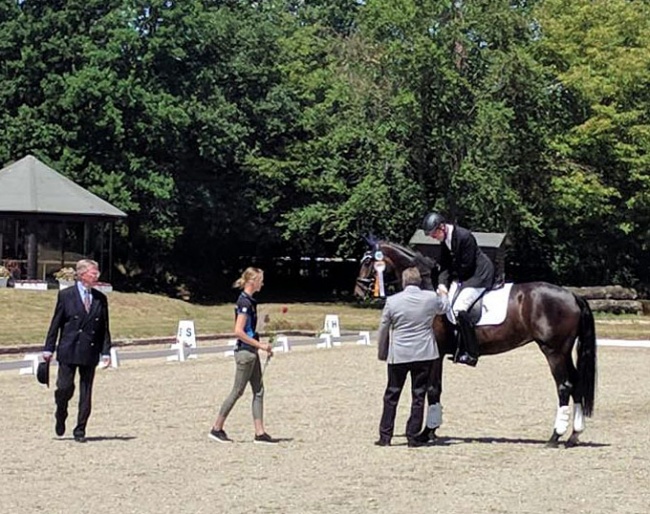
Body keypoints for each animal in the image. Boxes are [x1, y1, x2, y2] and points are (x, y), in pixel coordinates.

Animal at [356, 240, 596, 444]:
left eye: (368, 262)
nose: (358, 292)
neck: (428, 288)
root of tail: (572, 295)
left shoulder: (435, 352)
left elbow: (432, 389)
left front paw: (426, 433)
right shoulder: (438, 354)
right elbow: (437, 390)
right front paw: (431, 431)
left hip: (553, 351)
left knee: (564, 387)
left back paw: (555, 436)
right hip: (564, 351)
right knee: (576, 384)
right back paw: (574, 435)